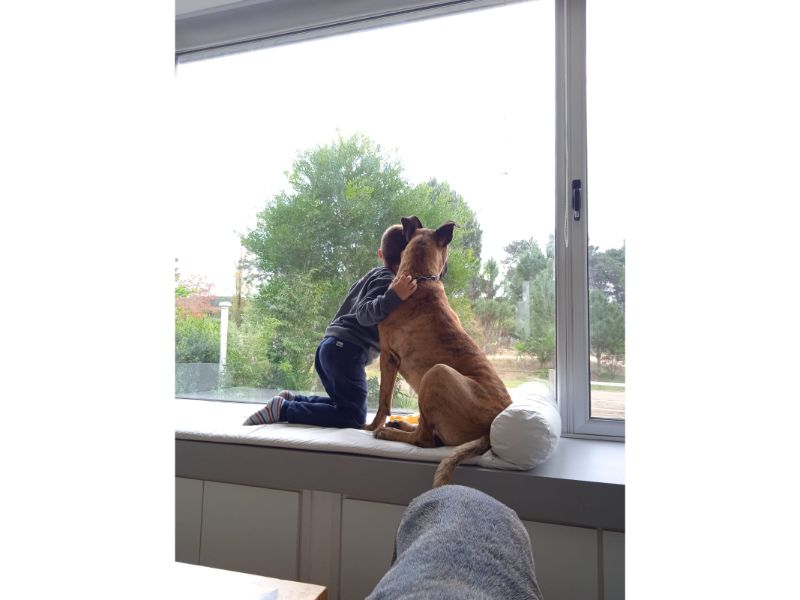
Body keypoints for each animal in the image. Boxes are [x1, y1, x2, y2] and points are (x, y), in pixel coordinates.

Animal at [364, 215, 512, 487]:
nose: (446, 270)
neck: (418, 277)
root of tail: (490, 432)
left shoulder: (388, 356)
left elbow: (383, 400)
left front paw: (372, 425)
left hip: (437, 373)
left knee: (424, 439)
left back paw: (388, 432)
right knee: (426, 431)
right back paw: (400, 425)